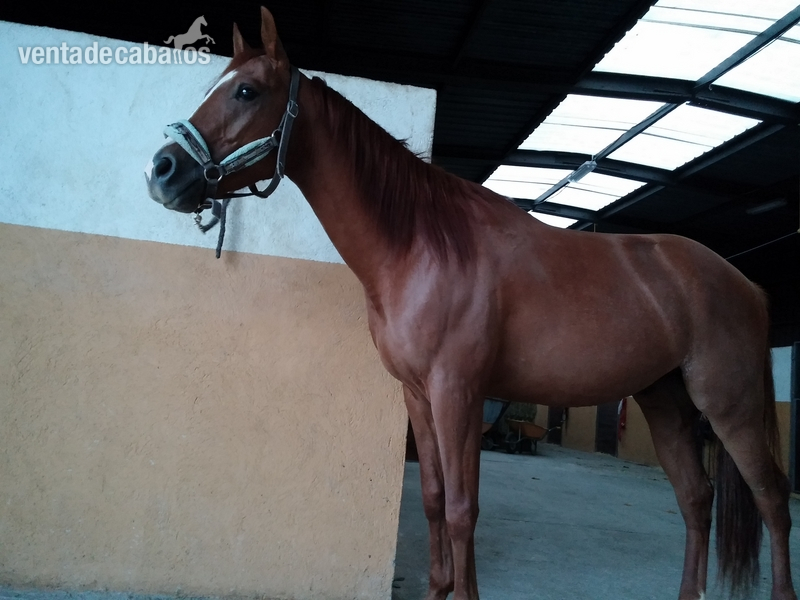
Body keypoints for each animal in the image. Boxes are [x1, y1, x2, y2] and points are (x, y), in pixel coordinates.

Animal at [145, 8, 796, 600]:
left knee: (771, 500)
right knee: (696, 500)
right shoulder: (418, 394)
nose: (162, 171)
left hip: (730, 406)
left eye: (247, 91)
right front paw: (437, 589)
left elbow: (462, 508)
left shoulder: (458, 392)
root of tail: (744, 283)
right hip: (665, 402)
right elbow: (434, 499)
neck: (421, 245)